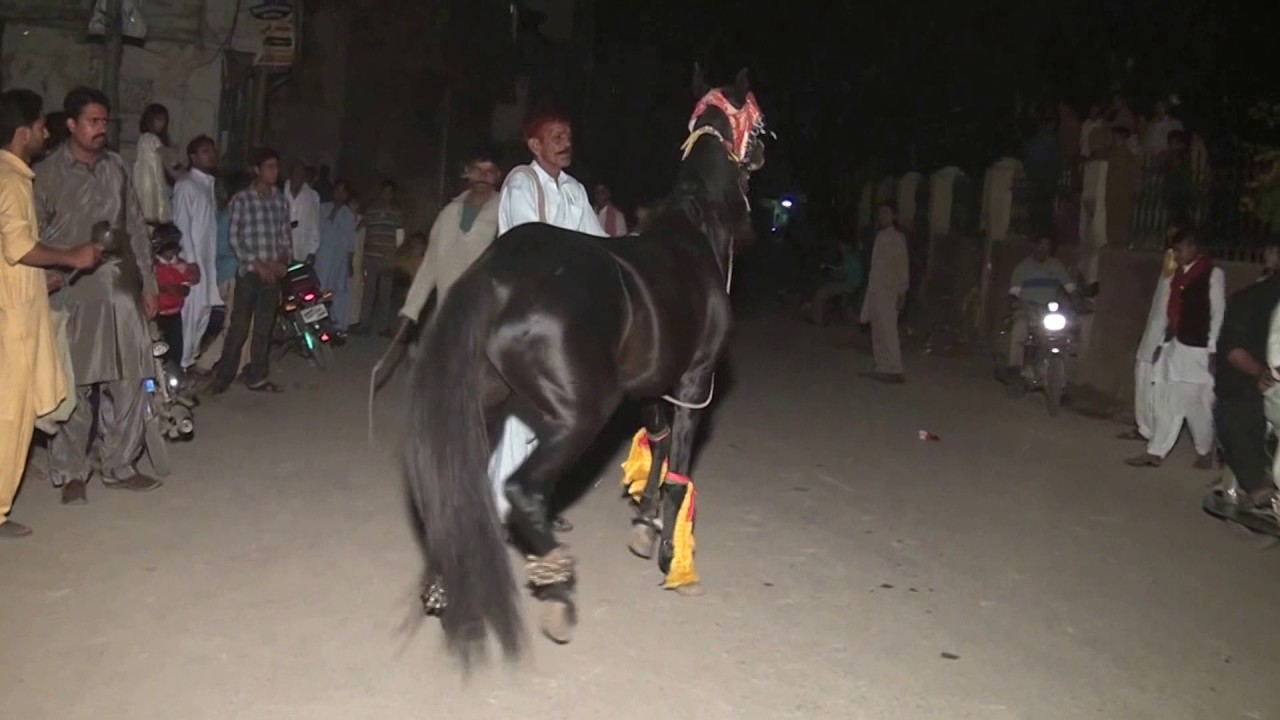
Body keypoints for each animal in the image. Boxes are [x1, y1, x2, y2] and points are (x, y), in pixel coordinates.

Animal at [405, 66, 767, 664]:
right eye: (757, 118)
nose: (760, 151)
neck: (692, 232)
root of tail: (495, 277)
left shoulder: (654, 385)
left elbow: (657, 446)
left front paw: (644, 523)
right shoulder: (694, 382)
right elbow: (678, 471)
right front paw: (672, 558)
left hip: (485, 403)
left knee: (458, 484)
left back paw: (443, 582)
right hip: (581, 413)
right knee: (522, 489)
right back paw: (557, 589)